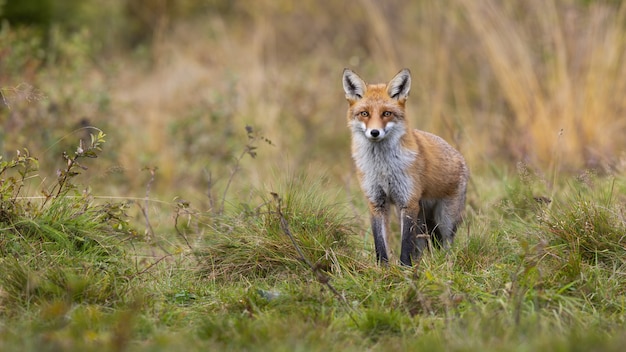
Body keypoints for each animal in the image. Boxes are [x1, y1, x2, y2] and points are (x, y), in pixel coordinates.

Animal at [342, 68, 468, 266]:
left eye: (386, 113)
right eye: (364, 113)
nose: (374, 132)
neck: (383, 168)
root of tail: (459, 156)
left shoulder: (408, 201)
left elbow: (405, 245)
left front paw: (405, 269)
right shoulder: (376, 202)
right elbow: (380, 244)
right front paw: (383, 269)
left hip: (445, 219)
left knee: (447, 245)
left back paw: (446, 264)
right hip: (422, 219)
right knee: (421, 246)